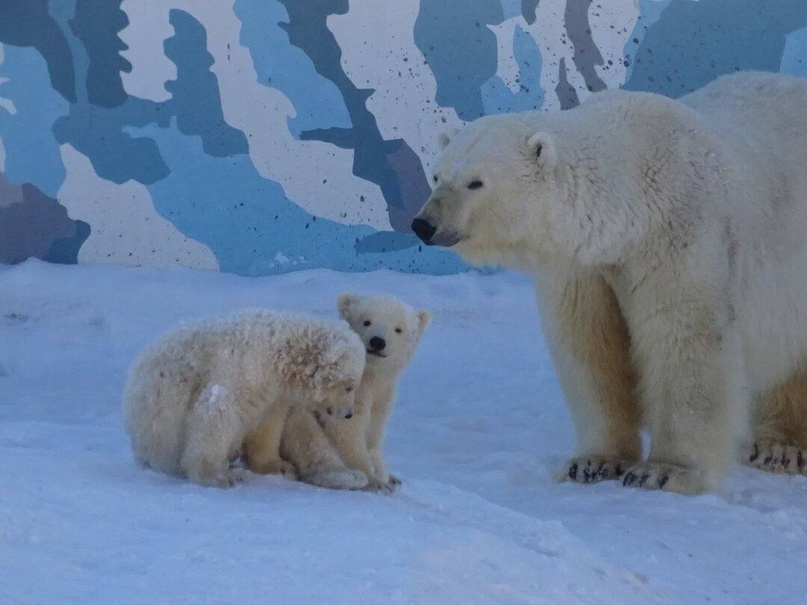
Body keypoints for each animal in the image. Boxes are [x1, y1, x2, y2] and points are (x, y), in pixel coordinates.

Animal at [124, 310, 364, 488]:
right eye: (349, 386)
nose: (349, 413)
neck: (279, 352)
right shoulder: (240, 367)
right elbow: (216, 413)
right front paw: (217, 476)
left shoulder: (271, 392)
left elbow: (268, 424)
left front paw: (278, 466)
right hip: (161, 413)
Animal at [245, 292, 430, 490]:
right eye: (366, 321)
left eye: (398, 329)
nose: (377, 342)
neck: (369, 373)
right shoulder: (346, 390)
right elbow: (346, 428)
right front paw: (374, 481)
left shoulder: (383, 392)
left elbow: (374, 426)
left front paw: (385, 475)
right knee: (307, 434)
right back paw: (340, 475)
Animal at [414, 72, 804, 496]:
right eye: (436, 175)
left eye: (476, 182)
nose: (424, 224)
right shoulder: (584, 267)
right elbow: (590, 346)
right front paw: (593, 463)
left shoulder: (681, 236)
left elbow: (685, 341)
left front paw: (664, 471)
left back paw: (781, 449)